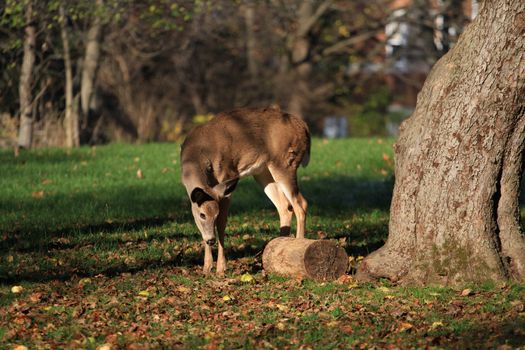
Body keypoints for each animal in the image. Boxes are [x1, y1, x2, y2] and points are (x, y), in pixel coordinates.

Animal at [181, 105, 312, 274]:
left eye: (215, 215)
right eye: (202, 215)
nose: (211, 240)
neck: (198, 154)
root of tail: (304, 127)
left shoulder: (227, 176)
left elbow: (222, 223)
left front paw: (220, 268)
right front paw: (206, 268)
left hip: (285, 163)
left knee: (301, 204)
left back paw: (298, 244)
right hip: (263, 172)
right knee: (284, 206)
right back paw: (276, 250)